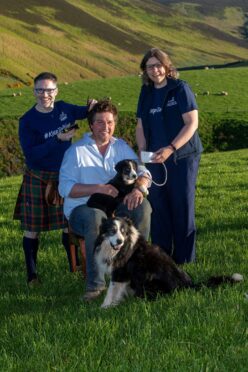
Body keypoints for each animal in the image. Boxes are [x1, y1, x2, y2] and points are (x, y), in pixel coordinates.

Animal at [94, 215, 243, 308]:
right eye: (112, 231)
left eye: (123, 231)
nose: (119, 241)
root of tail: (187, 285)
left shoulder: (120, 273)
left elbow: (111, 291)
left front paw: (104, 307)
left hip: (150, 279)